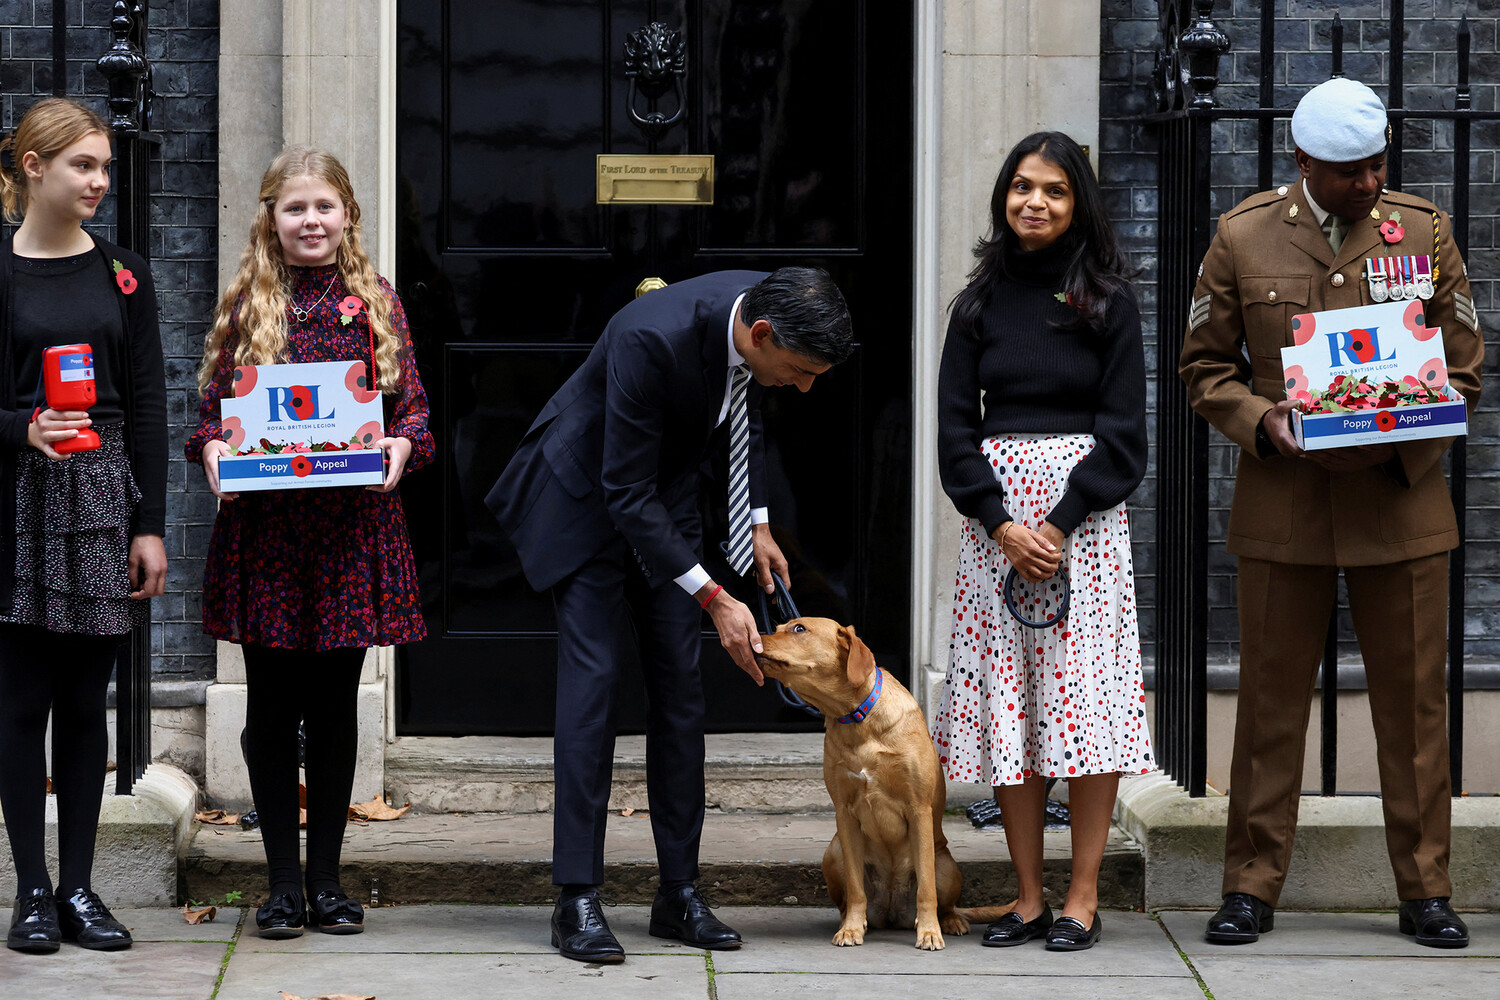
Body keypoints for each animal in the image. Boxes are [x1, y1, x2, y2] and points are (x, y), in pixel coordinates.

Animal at [750, 614, 1008, 953]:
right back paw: (854, 921)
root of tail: (891, 912)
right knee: (847, 898)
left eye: (799, 628)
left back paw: (950, 921)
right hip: (833, 853)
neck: (856, 718)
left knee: (945, 901)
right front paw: (850, 929)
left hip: (945, 863)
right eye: (779, 628)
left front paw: (929, 932)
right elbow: (856, 889)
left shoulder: (919, 809)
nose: (754, 635)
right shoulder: (844, 812)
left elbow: (927, 890)